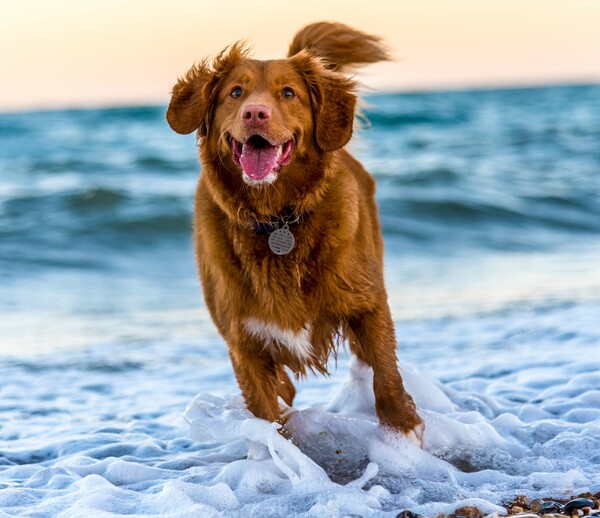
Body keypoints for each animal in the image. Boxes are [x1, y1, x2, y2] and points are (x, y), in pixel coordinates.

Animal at [166, 20, 424, 442]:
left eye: (288, 93)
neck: (277, 219)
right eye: (235, 92)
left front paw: (402, 427)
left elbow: (385, 371)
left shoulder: (367, 302)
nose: (255, 112)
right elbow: (266, 413)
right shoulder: (243, 341)